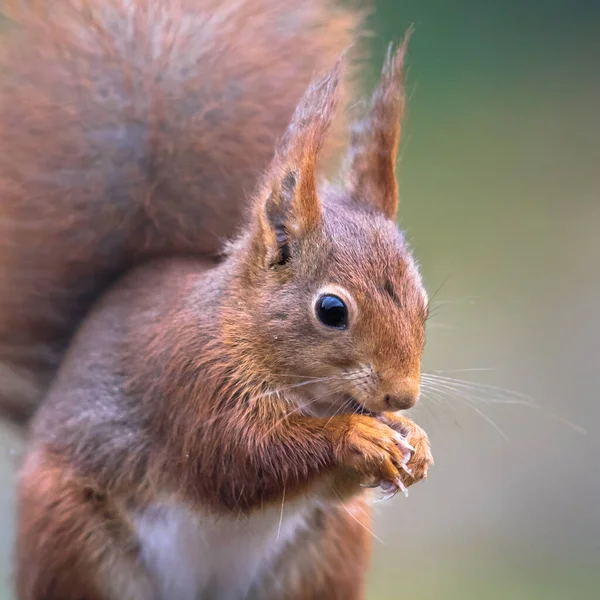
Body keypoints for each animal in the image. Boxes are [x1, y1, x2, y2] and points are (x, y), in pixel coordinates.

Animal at [0, 1, 434, 600]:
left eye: (424, 303)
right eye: (332, 311)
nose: (402, 397)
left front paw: (414, 442)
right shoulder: (190, 380)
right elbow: (237, 459)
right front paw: (356, 435)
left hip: (326, 551)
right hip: (70, 533)